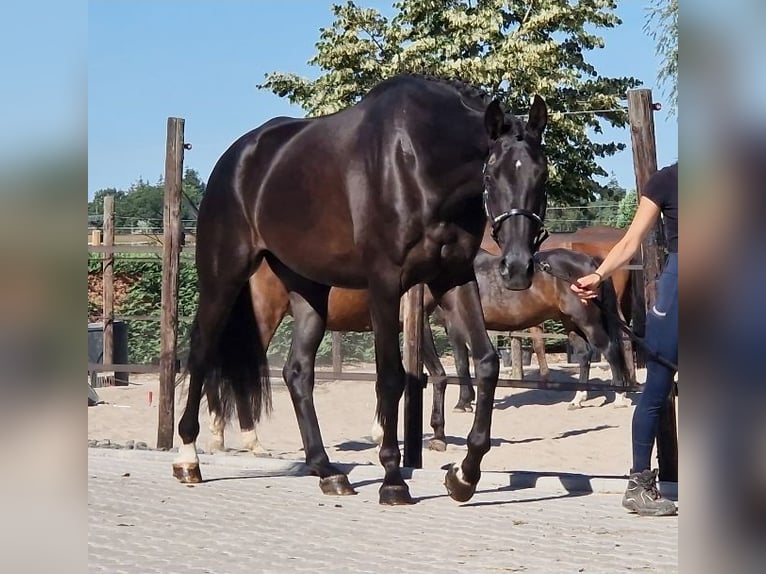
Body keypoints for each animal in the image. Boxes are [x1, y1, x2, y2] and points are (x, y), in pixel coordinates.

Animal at [175, 73, 549, 505]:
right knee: (201, 353)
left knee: (297, 372)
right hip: (223, 277)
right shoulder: (385, 283)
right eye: (491, 176)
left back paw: (327, 471)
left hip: (308, 289)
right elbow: (391, 377)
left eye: (542, 175)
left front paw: (463, 475)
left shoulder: (452, 277)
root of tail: (234, 159)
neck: (419, 162)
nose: (517, 267)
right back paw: (187, 459)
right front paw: (393, 479)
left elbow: (486, 363)